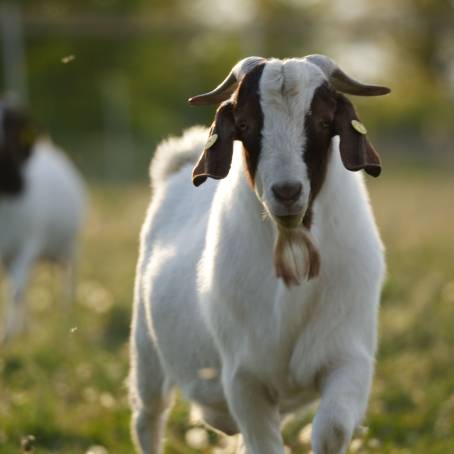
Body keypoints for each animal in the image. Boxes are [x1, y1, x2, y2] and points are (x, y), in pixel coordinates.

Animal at [0, 102, 85, 340]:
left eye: (10, 125)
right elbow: (16, 289)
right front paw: (17, 331)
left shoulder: (29, 243)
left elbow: (16, 290)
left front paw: (9, 334)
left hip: (70, 245)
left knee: (68, 276)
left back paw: (67, 314)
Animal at [129, 55, 390, 454]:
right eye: (245, 124)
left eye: (322, 121)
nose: (287, 191)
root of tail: (176, 166)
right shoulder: (244, 379)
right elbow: (265, 445)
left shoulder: (349, 359)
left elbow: (331, 430)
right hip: (147, 354)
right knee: (148, 419)